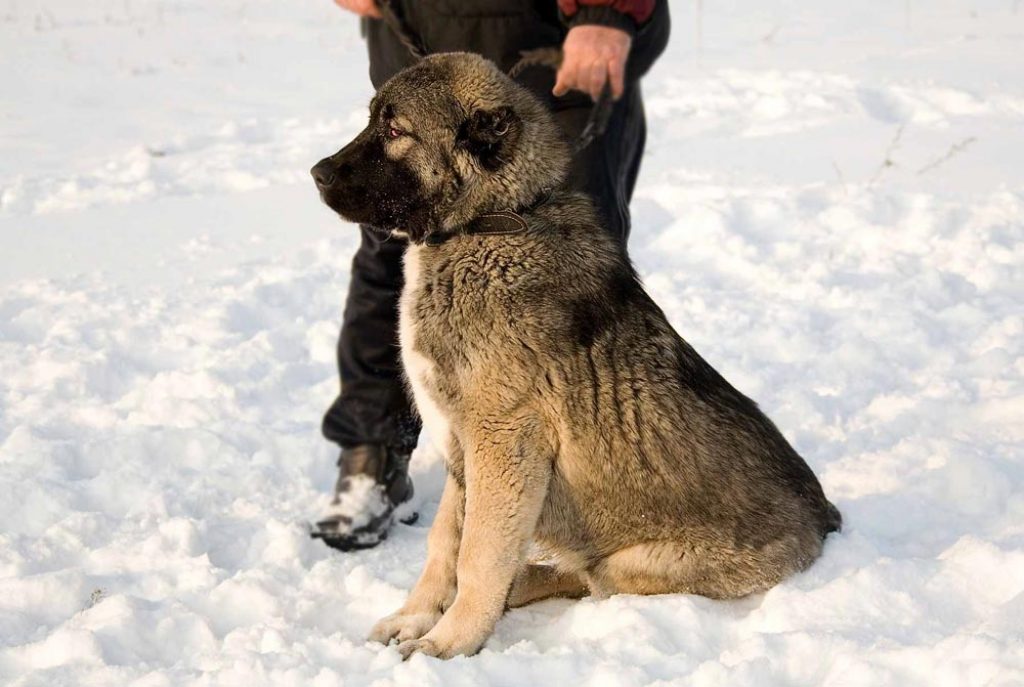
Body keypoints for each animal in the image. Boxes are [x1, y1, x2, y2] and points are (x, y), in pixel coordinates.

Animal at [311, 52, 839, 659]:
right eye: (373, 120)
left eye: (397, 131)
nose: (317, 173)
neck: (490, 222)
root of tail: (825, 520)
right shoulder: (463, 452)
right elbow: (445, 544)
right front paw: (416, 616)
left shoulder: (502, 441)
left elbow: (477, 555)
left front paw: (450, 640)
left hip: (637, 563)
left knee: (589, 577)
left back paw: (522, 586)